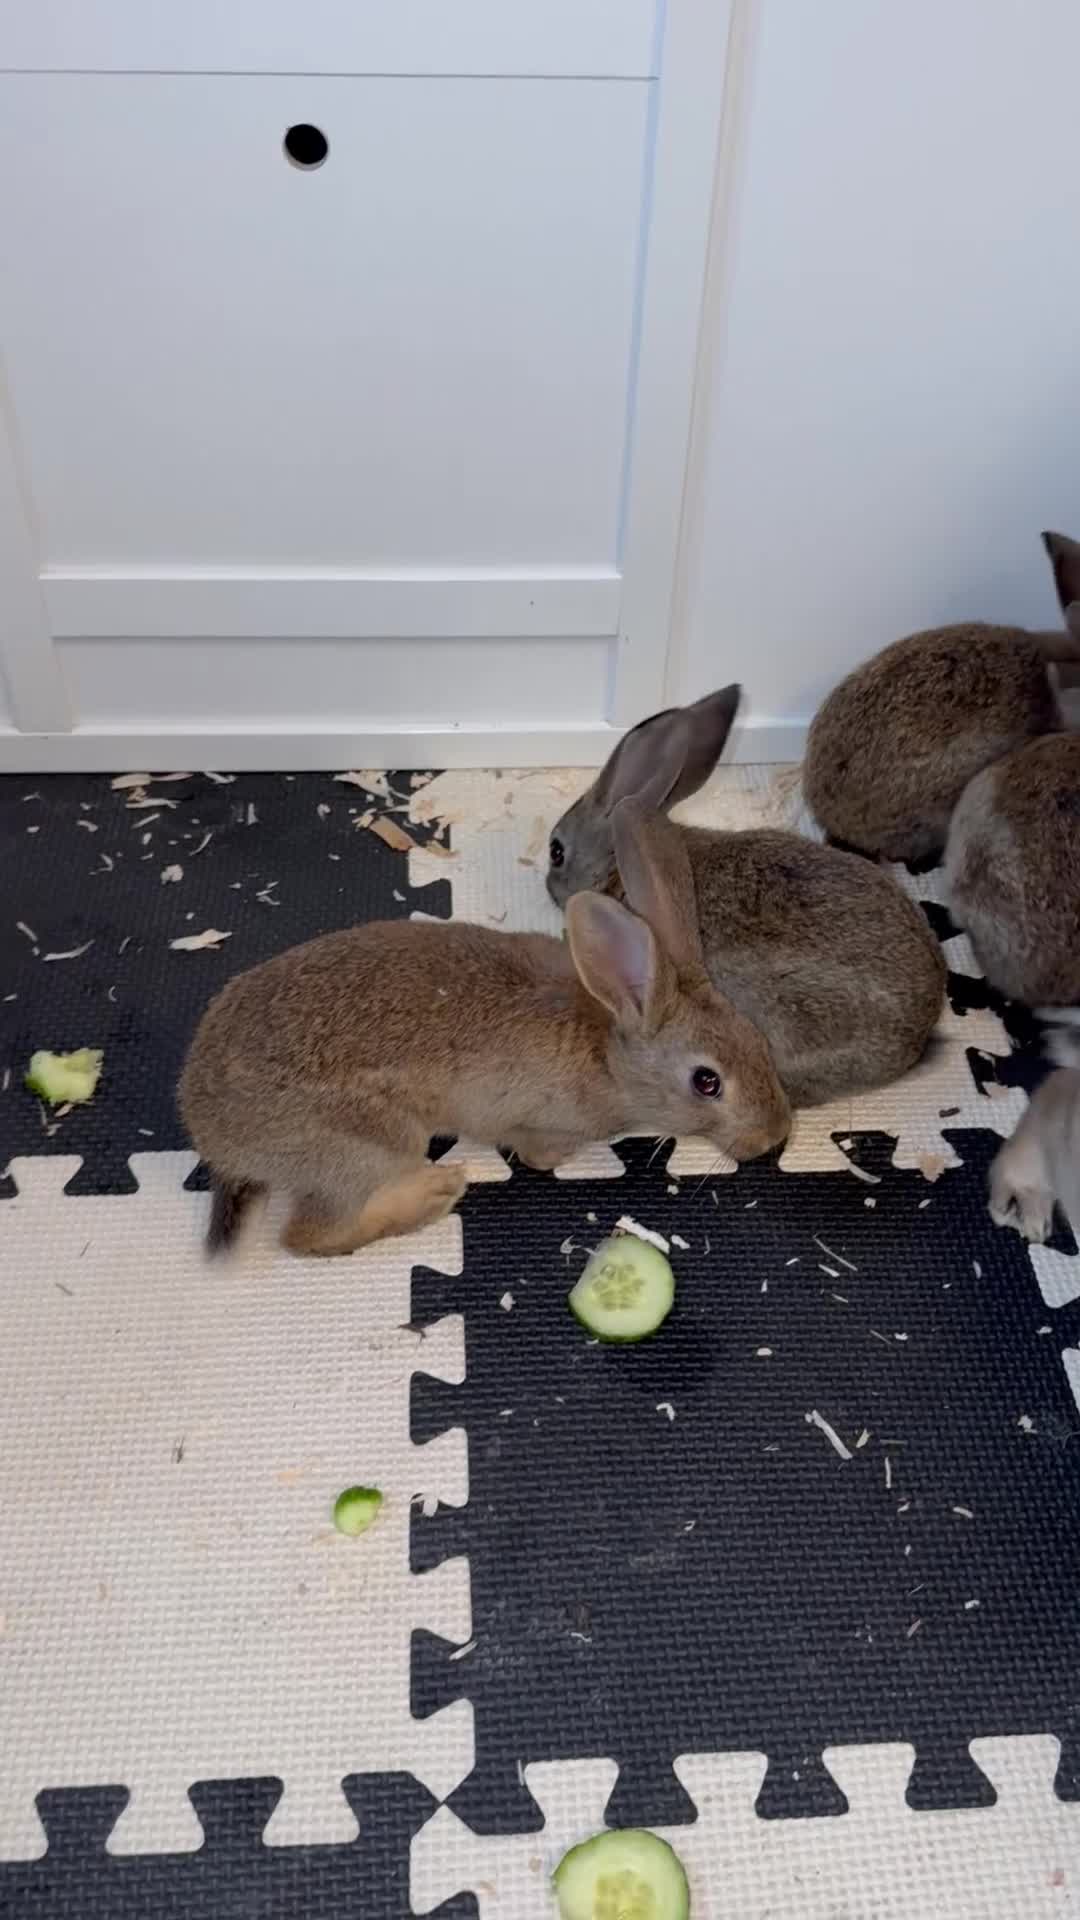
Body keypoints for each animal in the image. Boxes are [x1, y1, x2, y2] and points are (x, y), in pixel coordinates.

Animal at [179, 799, 790, 1257]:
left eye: (759, 1042)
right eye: (707, 1082)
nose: (775, 1136)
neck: (609, 1050)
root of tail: (214, 1140)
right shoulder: (534, 1123)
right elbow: (540, 1154)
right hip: (370, 1146)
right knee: (308, 1236)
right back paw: (436, 1191)